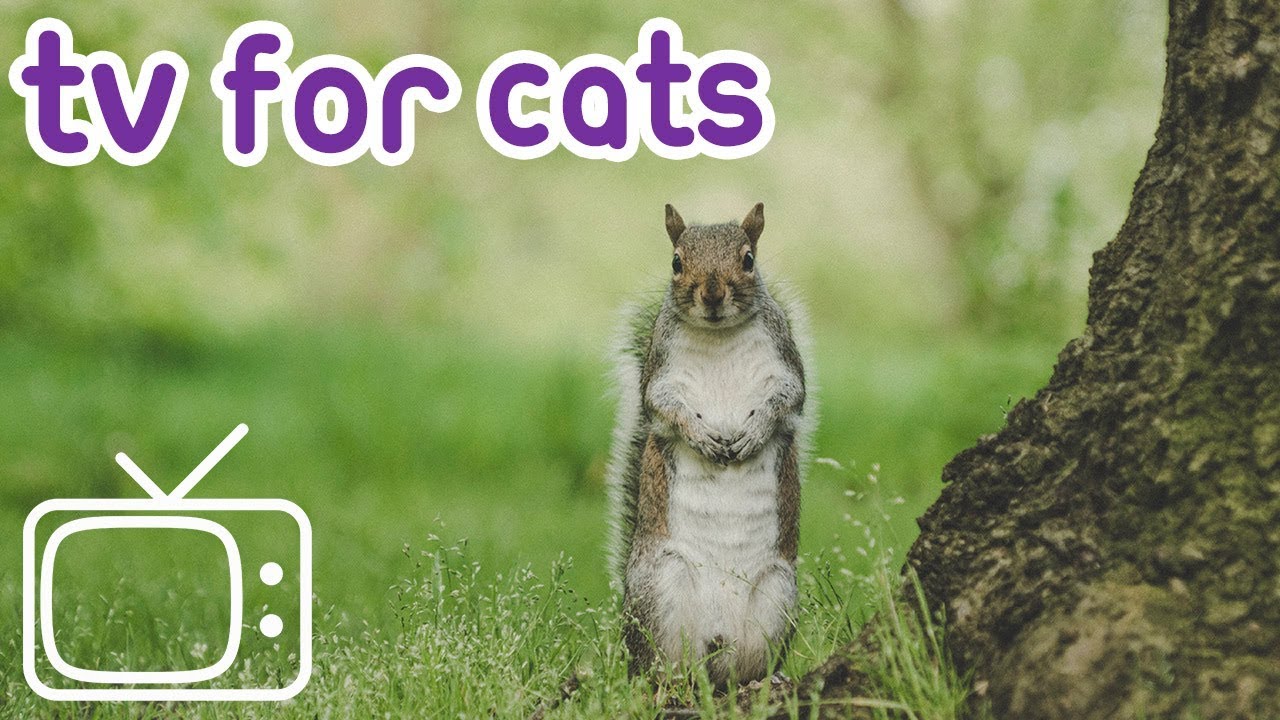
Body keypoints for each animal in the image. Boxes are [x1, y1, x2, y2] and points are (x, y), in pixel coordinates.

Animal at [606, 202, 813, 685]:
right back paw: (664, 682)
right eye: (676, 262)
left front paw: (753, 434)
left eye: (749, 259)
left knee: (745, 669)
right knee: (660, 665)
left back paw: (765, 679)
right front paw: (703, 438)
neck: (719, 336)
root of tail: (718, 650)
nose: (714, 294)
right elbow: (664, 408)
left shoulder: (785, 363)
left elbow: (788, 399)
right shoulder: (659, 375)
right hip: (659, 590)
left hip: (777, 591)